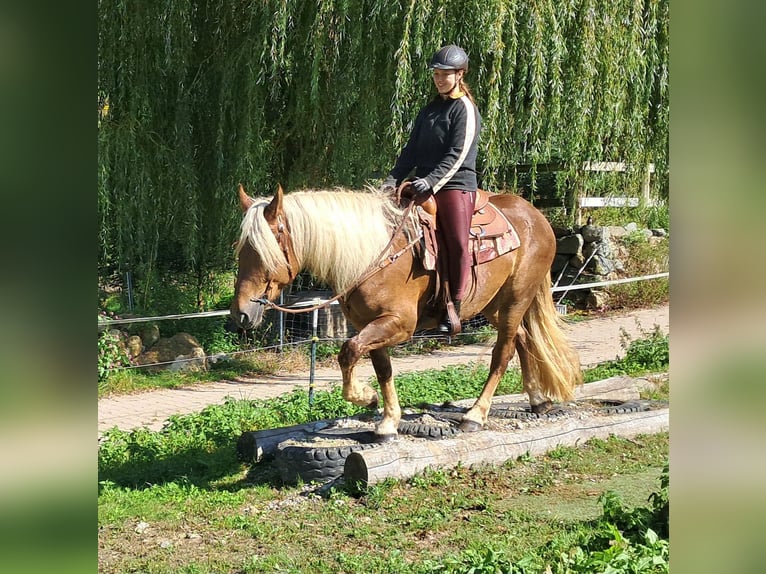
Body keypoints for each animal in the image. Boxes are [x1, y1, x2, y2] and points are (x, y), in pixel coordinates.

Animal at [230, 182, 584, 444]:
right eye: (240, 248)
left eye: (263, 250)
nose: (241, 313)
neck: (373, 255)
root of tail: (536, 216)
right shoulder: (371, 325)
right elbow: (382, 369)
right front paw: (387, 421)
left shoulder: (399, 324)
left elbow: (349, 352)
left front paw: (366, 397)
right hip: (494, 304)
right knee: (523, 339)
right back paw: (537, 400)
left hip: (515, 300)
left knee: (504, 351)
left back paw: (476, 414)